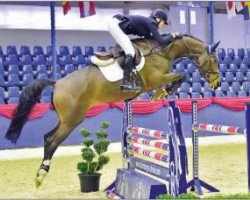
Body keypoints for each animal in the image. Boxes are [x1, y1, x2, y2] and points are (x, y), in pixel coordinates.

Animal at [3, 34, 219, 188]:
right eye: (214, 59)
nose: (216, 83)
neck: (160, 51)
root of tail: (57, 83)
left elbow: (178, 76)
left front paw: (162, 93)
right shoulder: (156, 79)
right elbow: (180, 76)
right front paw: (163, 93)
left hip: (65, 119)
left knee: (47, 136)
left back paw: (40, 174)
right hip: (72, 120)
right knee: (51, 141)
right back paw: (41, 176)